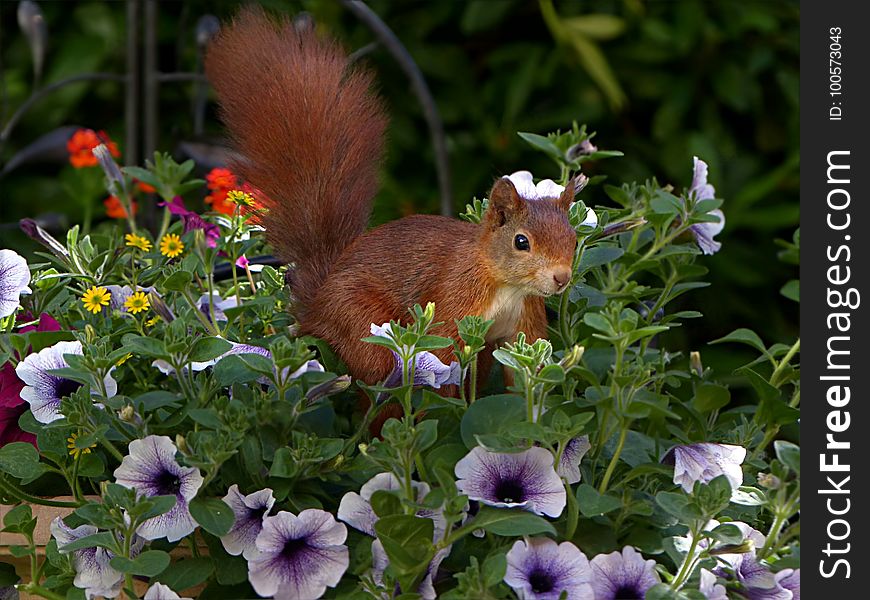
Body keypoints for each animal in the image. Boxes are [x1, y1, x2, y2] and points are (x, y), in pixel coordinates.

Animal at [204, 10, 580, 390]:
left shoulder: (524, 324)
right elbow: (444, 359)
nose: (562, 278)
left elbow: (525, 376)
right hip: (361, 324)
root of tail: (316, 307)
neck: (506, 286)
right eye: (521, 242)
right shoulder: (453, 302)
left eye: (574, 239)